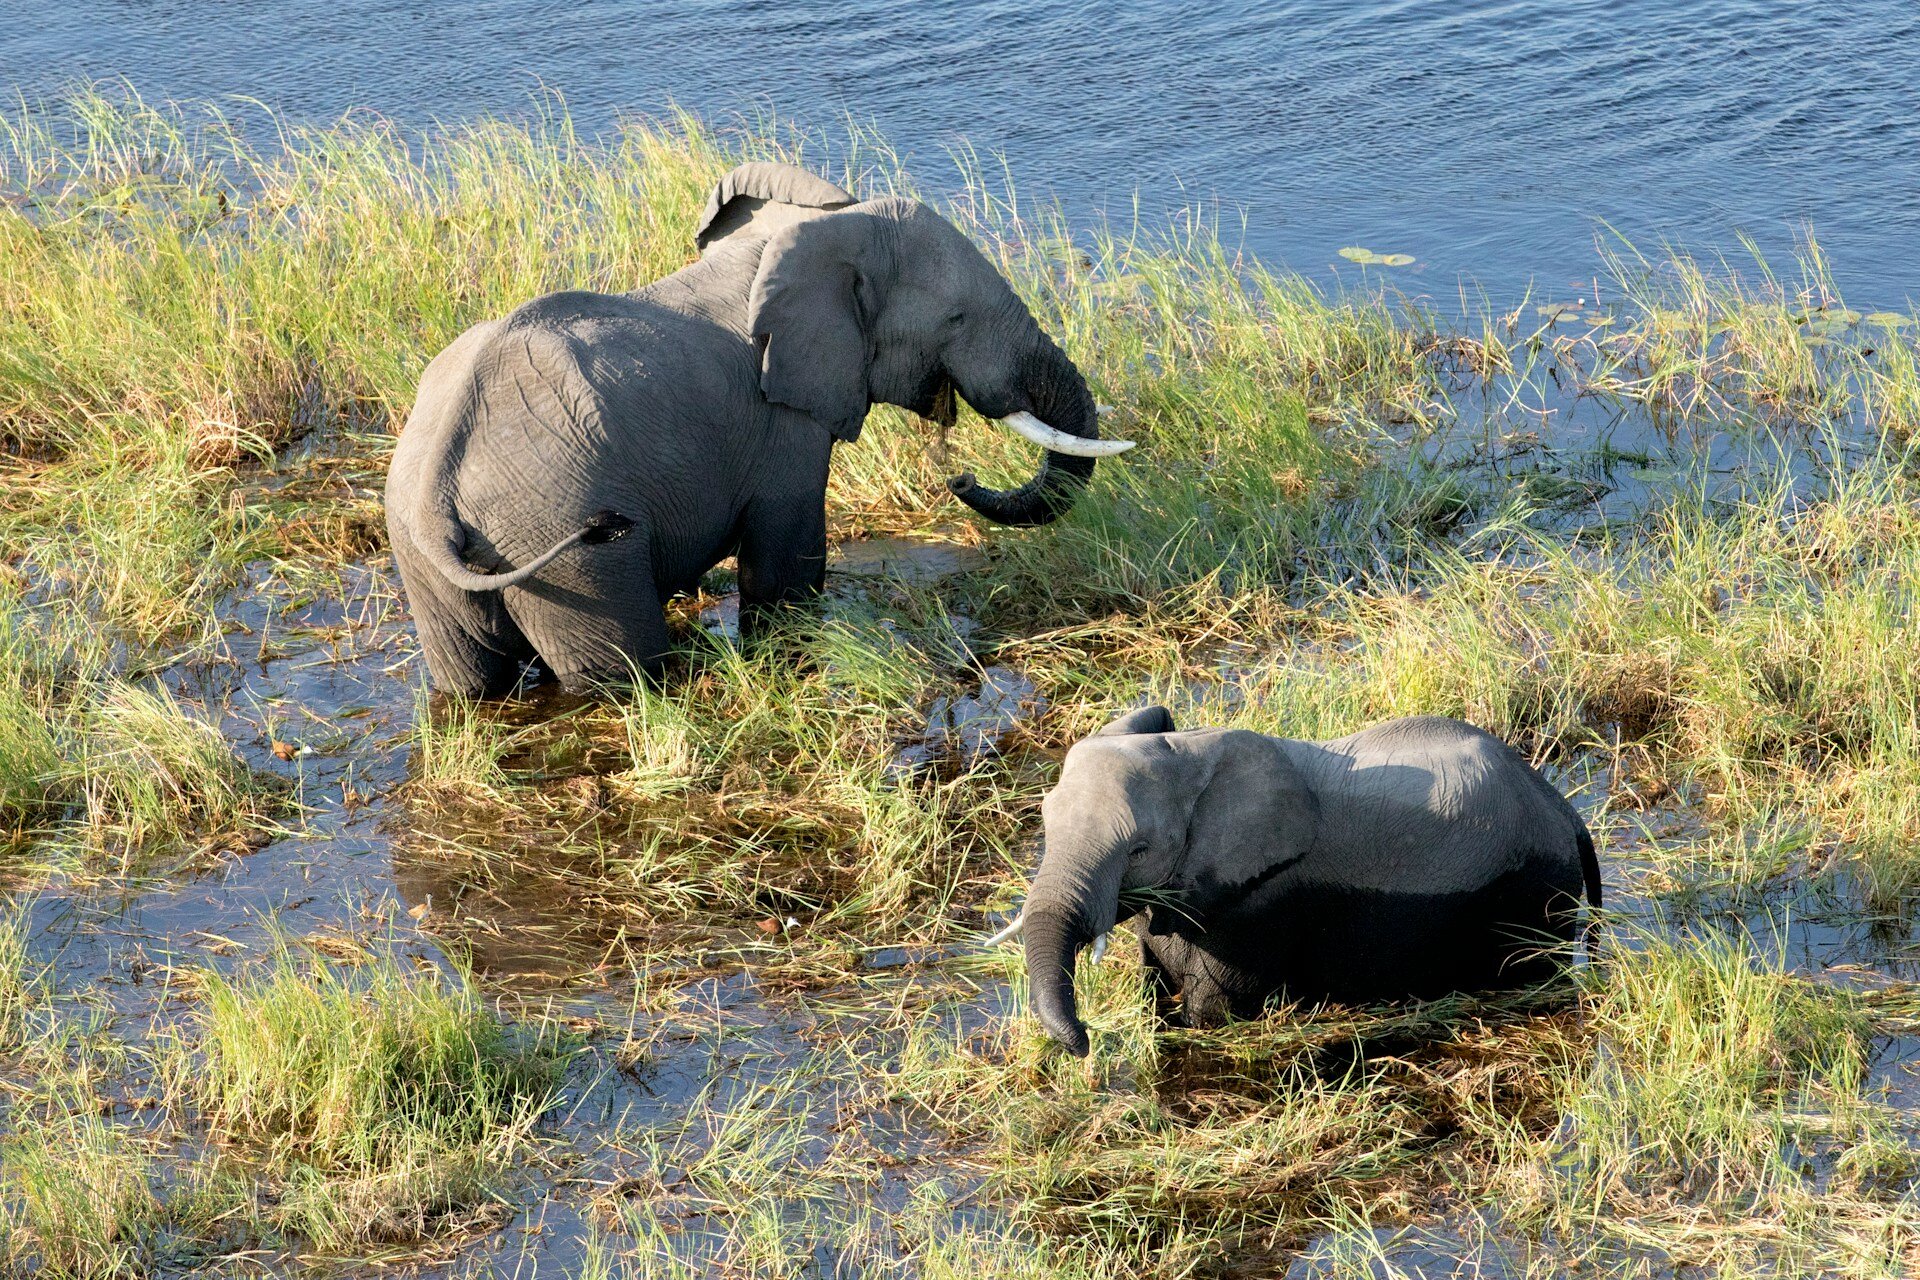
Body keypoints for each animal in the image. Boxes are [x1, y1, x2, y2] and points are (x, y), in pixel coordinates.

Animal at [384, 167, 1128, 702]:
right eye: (956, 318)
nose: (959, 475)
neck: (806, 240)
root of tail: (438, 490)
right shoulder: (783, 422)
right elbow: (787, 562)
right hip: (561, 547)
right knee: (618, 669)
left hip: (431, 555)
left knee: (471, 683)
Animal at [1006, 706, 1605, 1059]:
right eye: (1046, 822)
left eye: (1138, 851)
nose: (1084, 1044)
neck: (1192, 752)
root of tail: (1565, 810)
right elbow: (1156, 986)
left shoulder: (1261, 904)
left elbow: (1211, 1012)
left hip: (1530, 893)